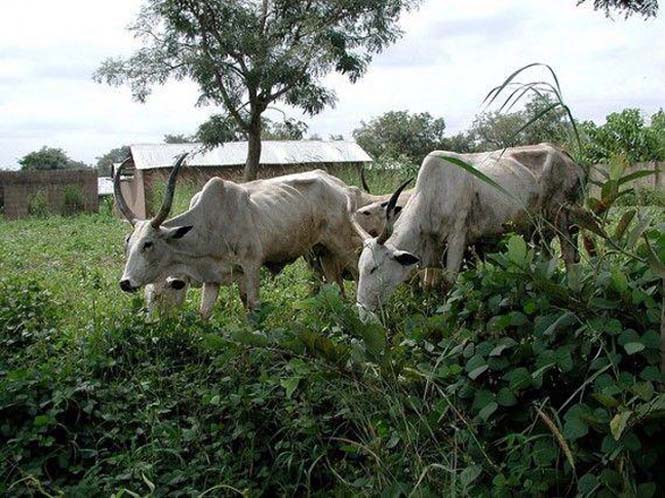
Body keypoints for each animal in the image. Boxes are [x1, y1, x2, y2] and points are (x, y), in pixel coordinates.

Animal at [352, 144, 580, 316]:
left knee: (569, 256)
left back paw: (572, 292)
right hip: (541, 230)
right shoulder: (436, 246)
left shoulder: (457, 238)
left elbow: (448, 284)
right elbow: (430, 286)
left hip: (562, 216)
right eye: (360, 268)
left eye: (374, 268)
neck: (431, 195)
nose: (362, 311)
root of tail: (563, 153)